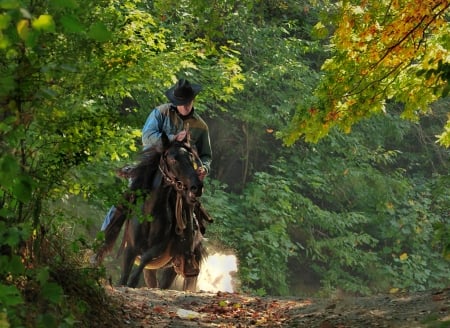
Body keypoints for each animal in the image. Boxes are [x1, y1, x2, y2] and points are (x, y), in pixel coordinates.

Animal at [96, 132, 208, 290]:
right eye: (173, 159)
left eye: (192, 158)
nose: (197, 187)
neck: (150, 214)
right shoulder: (130, 249)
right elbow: (124, 276)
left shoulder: (157, 250)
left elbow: (144, 259)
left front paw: (132, 283)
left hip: (172, 268)